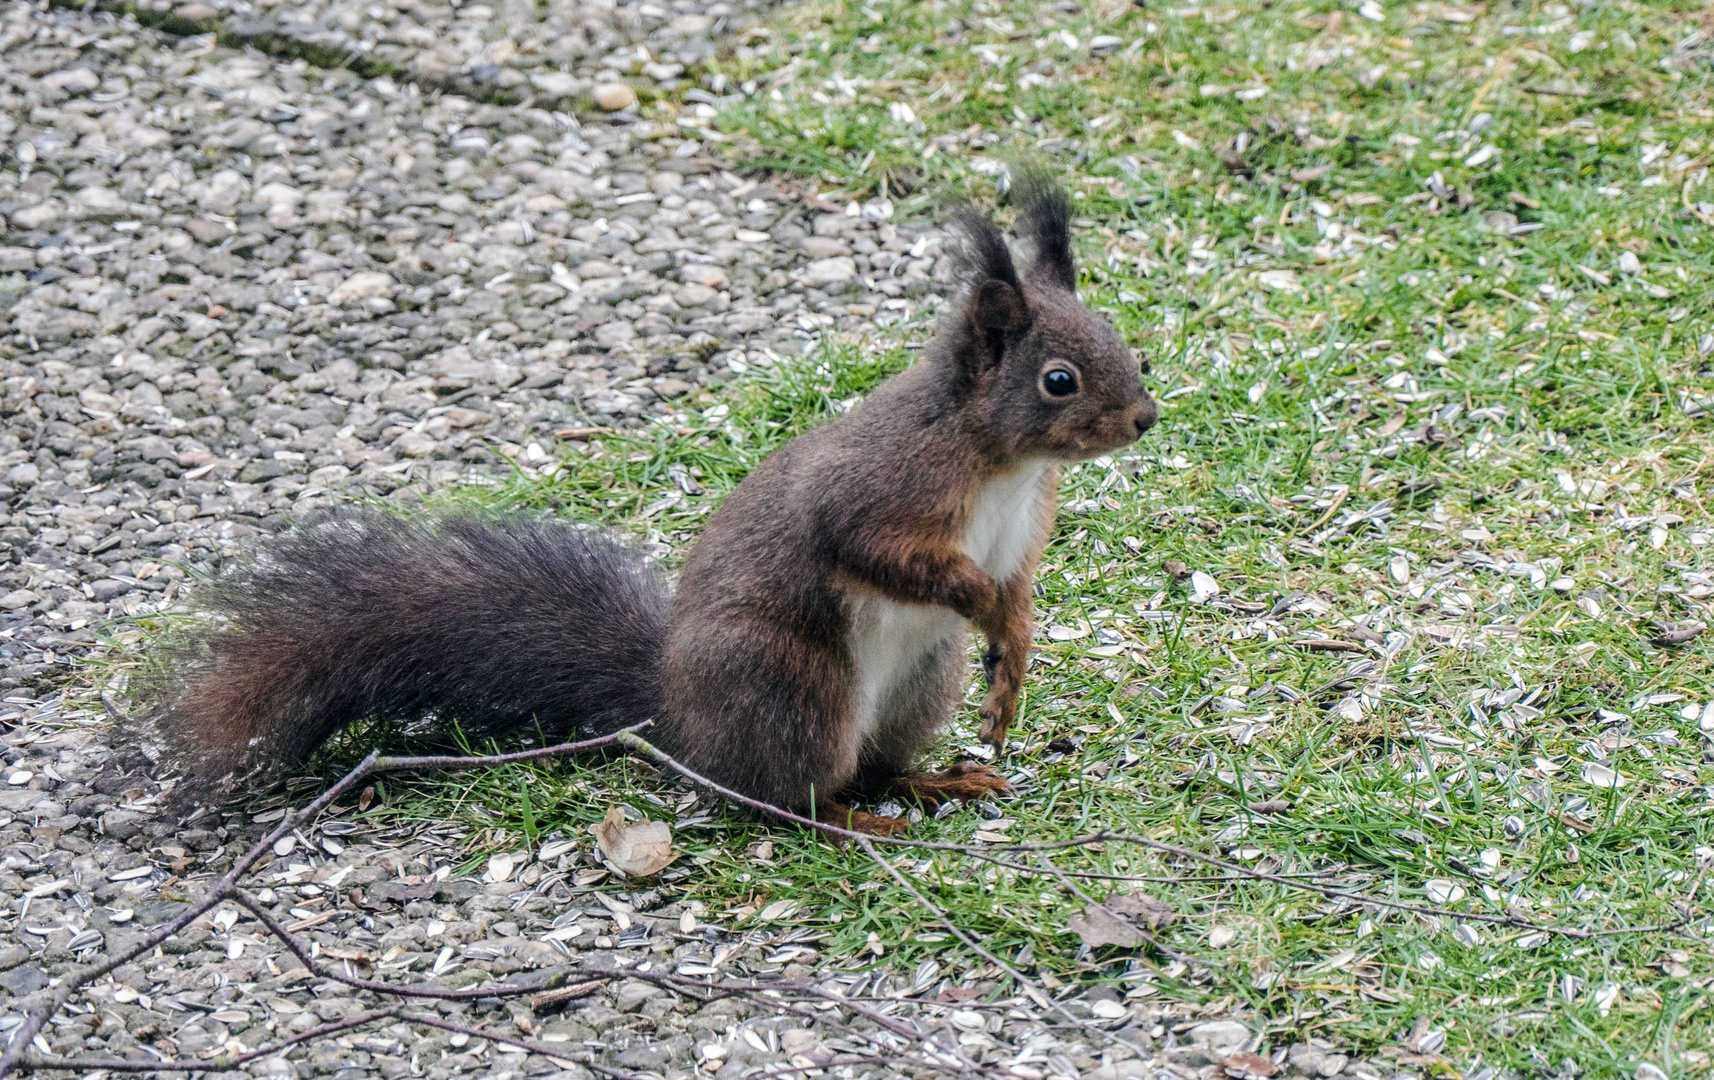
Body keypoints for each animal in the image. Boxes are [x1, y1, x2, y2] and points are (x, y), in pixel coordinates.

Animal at [154, 175, 1158, 836]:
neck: (1002, 466)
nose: (1146, 417)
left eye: (1121, 342)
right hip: (793, 683)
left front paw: (1014, 648)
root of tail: (675, 714)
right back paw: (851, 820)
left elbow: (1021, 583)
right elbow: (883, 551)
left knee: (876, 763)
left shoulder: (1025, 520)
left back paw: (933, 785)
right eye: (1059, 380)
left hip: (917, 682)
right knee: (780, 797)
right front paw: (981, 602)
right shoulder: (885, 489)